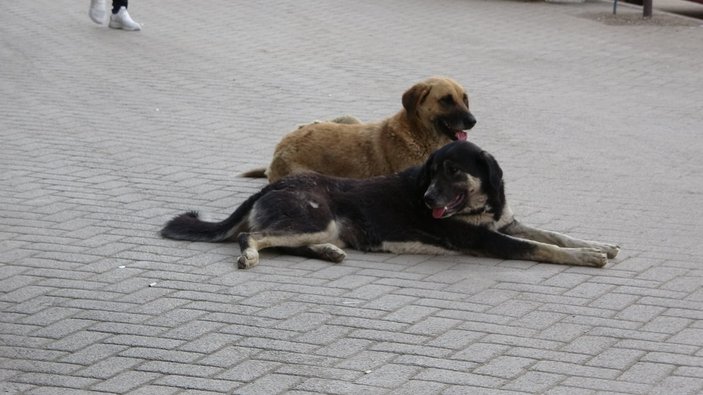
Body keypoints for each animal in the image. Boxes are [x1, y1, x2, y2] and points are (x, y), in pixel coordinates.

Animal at [162, 142, 620, 270]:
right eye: (432, 171)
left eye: (453, 171)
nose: (428, 200)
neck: (480, 206)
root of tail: (270, 187)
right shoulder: (495, 242)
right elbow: (547, 247)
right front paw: (589, 257)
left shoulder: (508, 226)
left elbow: (555, 234)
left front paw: (601, 244)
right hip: (313, 217)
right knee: (251, 235)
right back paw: (251, 255)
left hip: (323, 226)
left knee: (283, 241)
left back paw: (327, 252)